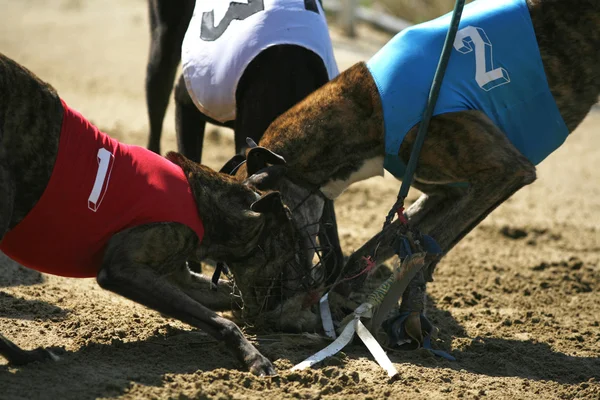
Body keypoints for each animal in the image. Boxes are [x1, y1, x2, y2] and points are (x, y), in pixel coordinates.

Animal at [0, 52, 302, 376]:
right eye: (286, 253)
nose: (278, 305)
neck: (202, 202)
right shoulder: (123, 269)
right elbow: (223, 321)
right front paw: (254, 357)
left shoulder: (178, 276)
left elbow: (216, 300)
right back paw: (23, 357)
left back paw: (24, 357)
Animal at [232, 0, 596, 344]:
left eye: (262, 243)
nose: (254, 316)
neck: (368, 107)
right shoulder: (447, 191)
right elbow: (376, 248)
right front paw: (337, 304)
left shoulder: (504, 171)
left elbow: (432, 245)